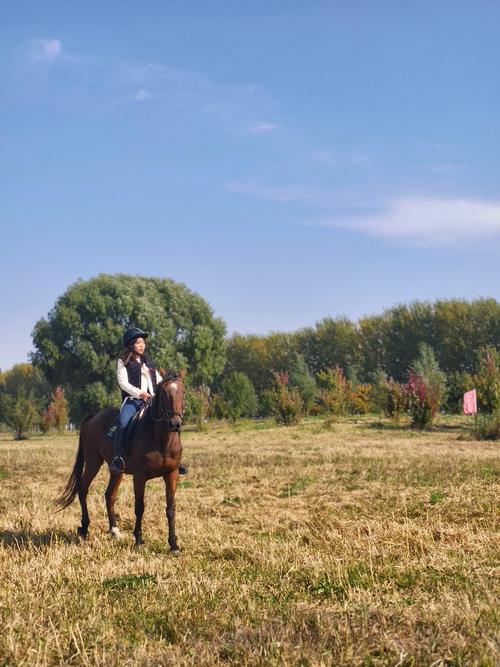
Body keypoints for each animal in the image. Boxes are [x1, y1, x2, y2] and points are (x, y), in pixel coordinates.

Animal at [56, 371, 185, 552]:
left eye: (183, 391)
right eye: (164, 392)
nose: (175, 423)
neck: (161, 439)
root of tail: (93, 416)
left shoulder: (171, 474)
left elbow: (171, 509)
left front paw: (173, 544)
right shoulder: (140, 476)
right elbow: (139, 507)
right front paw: (138, 539)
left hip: (116, 470)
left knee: (109, 495)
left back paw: (114, 530)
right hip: (93, 463)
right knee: (83, 489)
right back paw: (84, 527)